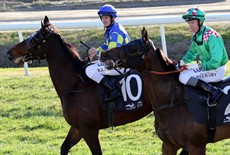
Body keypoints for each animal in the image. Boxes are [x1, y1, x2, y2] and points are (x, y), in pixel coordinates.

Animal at [7, 16, 155, 154]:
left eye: (34, 39)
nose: (9, 52)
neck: (77, 85)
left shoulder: (89, 129)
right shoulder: (77, 128)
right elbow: (64, 147)